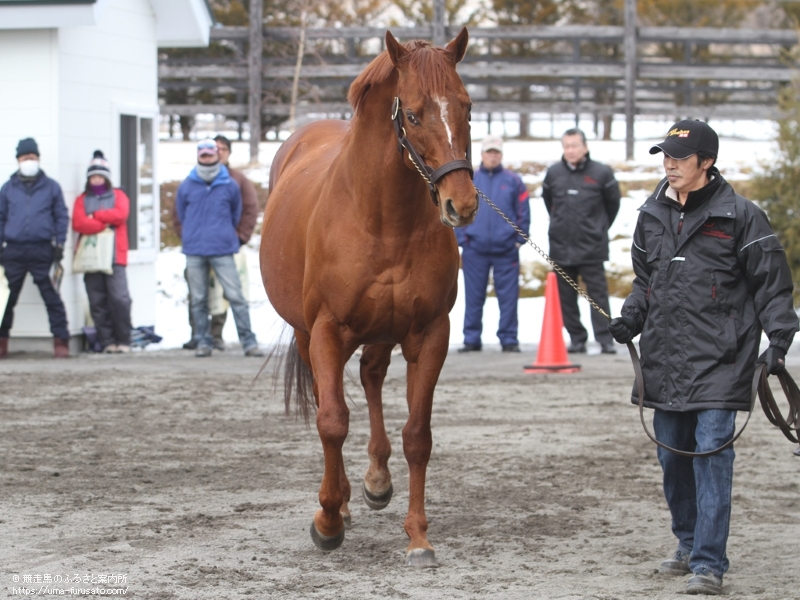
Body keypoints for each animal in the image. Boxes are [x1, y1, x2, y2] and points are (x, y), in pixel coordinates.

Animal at [260, 27, 476, 568]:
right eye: (414, 114)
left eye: (467, 106)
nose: (461, 205)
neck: (383, 219)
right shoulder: (327, 331)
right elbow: (333, 421)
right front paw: (328, 520)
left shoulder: (429, 334)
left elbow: (417, 436)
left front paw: (418, 537)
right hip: (307, 335)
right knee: (329, 397)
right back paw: (341, 500)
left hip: (382, 331)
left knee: (372, 376)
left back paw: (377, 480)